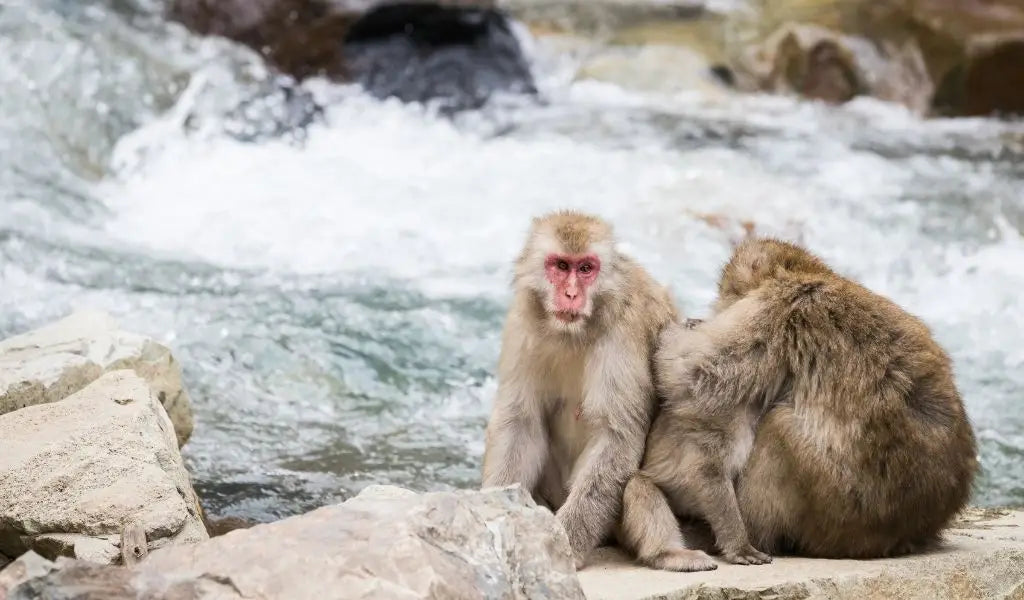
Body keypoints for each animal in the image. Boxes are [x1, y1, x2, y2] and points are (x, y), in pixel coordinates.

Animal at [480, 211, 714, 572]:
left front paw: (564, 544)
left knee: (633, 482)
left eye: (586, 269)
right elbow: (521, 423)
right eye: (562, 266)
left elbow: (615, 436)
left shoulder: (622, 336)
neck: (573, 332)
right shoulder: (522, 325)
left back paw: (668, 552)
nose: (571, 295)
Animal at [621, 237, 978, 569]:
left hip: (835, 512)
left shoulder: (772, 307)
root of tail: (908, 533)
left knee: (778, 426)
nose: (718, 310)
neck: (808, 275)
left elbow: (685, 373)